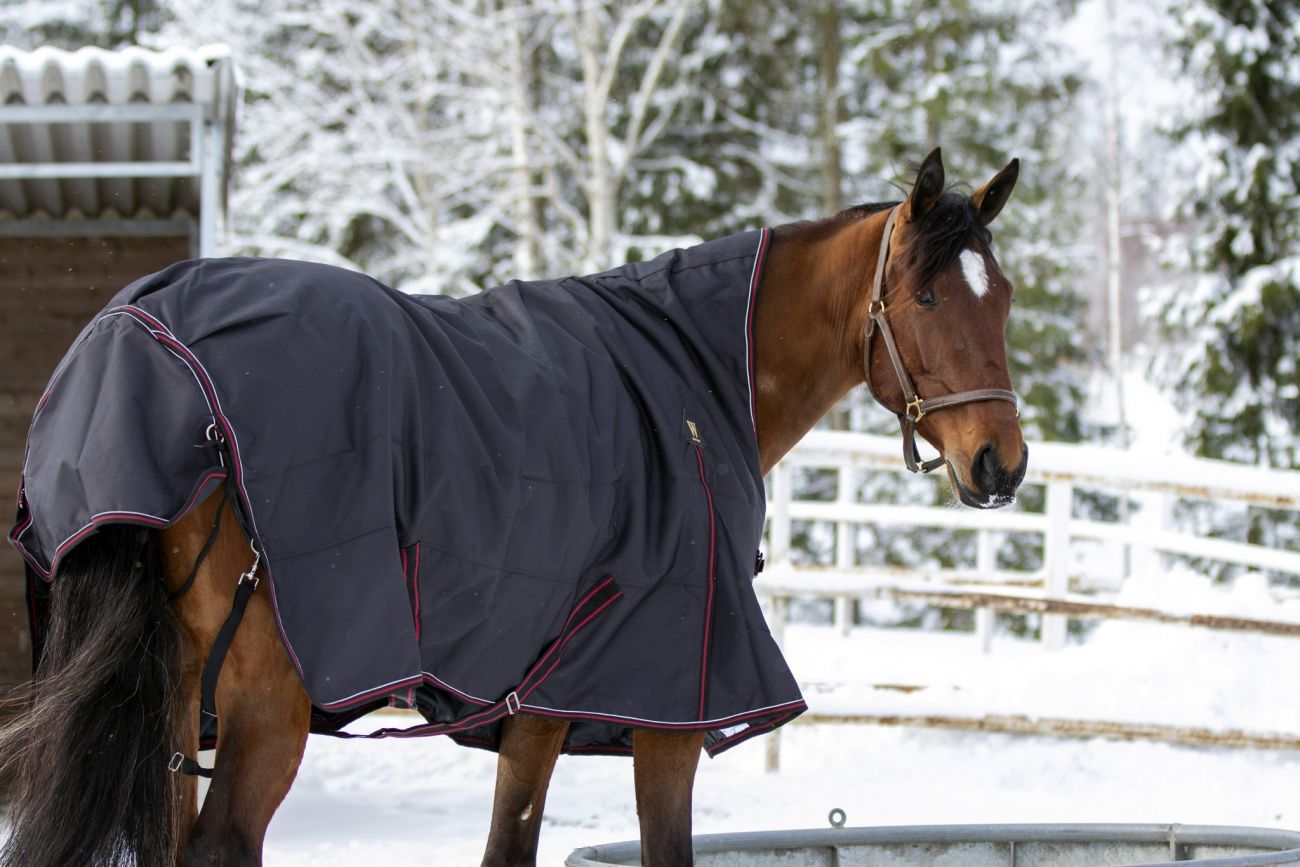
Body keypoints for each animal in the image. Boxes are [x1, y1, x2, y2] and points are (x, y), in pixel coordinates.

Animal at [0, 147, 1027, 866]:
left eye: (1004, 295)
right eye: (926, 295)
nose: (1001, 463)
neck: (700, 381)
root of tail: (136, 348)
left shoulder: (546, 698)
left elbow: (509, 845)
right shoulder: (665, 704)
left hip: (175, 701)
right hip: (263, 705)